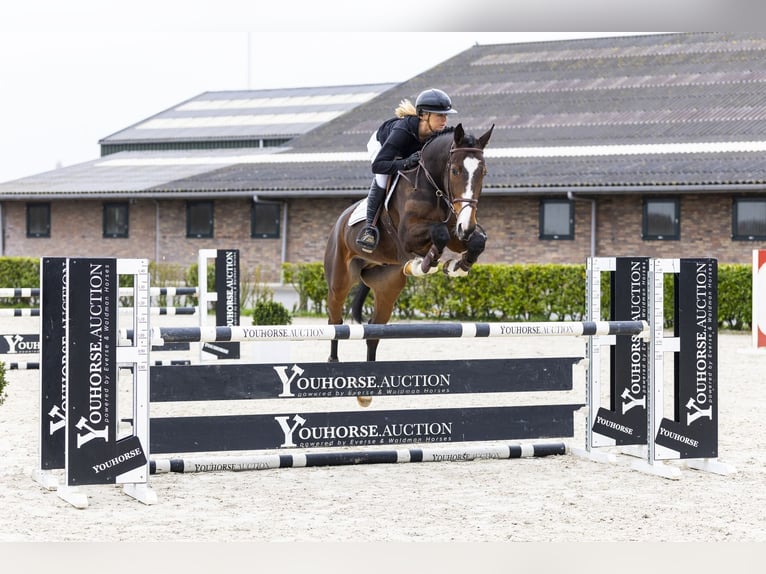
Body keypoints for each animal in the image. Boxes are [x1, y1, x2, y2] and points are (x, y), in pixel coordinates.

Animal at [323, 122, 494, 375]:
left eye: (482, 172)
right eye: (454, 171)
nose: (468, 225)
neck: (433, 186)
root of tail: (339, 222)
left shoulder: (457, 232)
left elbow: (476, 241)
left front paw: (457, 266)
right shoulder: (409, 236)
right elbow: (439, 233)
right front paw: (427, 263)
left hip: (387, 285)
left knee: (374, 331)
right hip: (340, 280)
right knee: (335, 322)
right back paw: (333, 361)